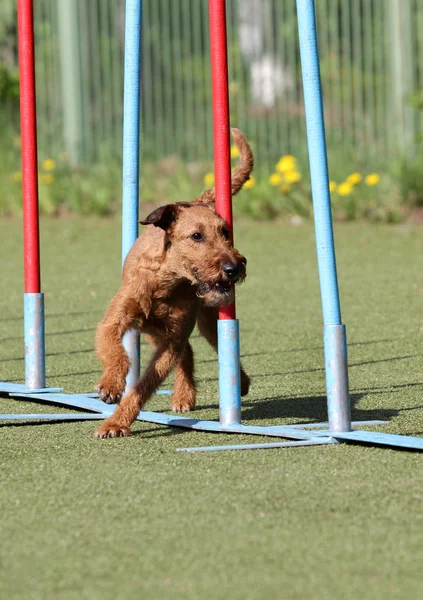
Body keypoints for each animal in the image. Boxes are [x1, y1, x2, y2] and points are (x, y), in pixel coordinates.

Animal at [94, 127, 253, 436]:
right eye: (196, 236)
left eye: (225, 232)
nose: (233, 268)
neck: (165, 283)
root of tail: (198, 198)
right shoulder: (114, 322)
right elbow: (116, 352)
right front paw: (110, 385)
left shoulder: (171, 339)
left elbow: (144, 386)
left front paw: (117, 421)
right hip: (155, 330)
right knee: (188, 350)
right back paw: (184, 395)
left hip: (204, 322)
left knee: (209, 346)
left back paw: (234, 384)